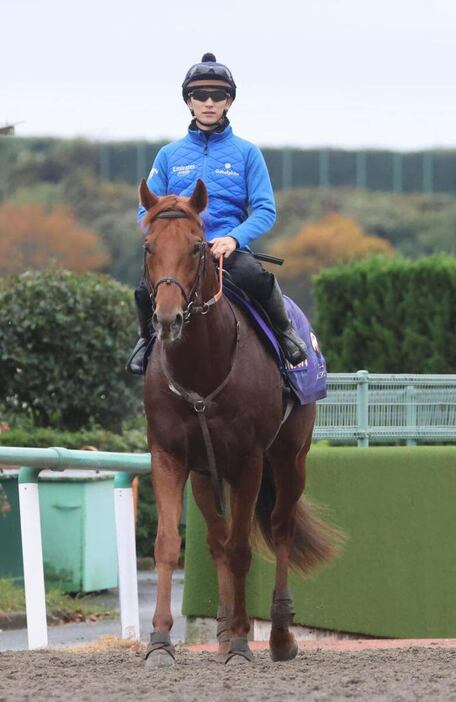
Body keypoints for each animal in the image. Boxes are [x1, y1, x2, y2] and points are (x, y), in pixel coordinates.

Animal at [141, 179, 340, 668]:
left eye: (197, 246)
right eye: (149, 246)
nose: (169, 318)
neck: (202, 369)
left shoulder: (250, 459)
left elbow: (241, 548)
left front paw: (240, 643)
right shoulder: (170, 456)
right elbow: (169, 544)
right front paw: (161, 641)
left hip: (290, 457)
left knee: (282, 526)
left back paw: (278, 635)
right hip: (207, 473)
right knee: (217, 539)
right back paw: (225, 627)